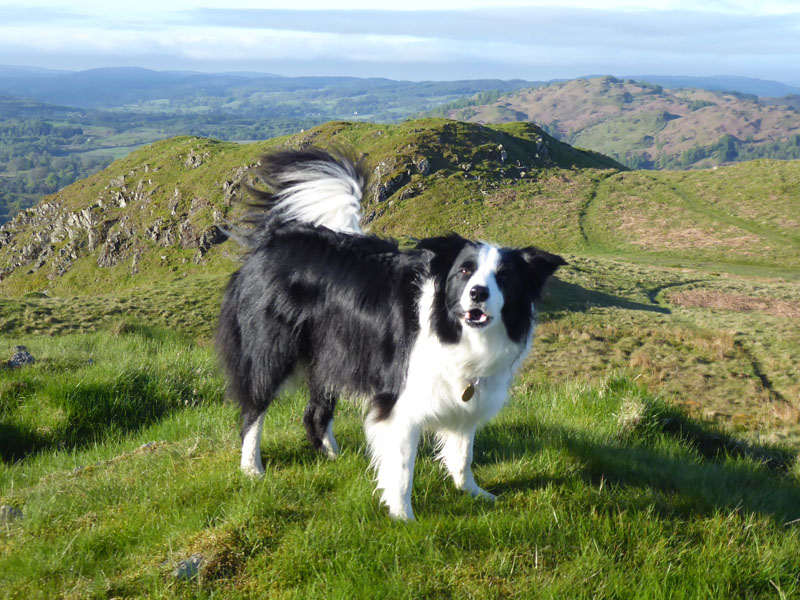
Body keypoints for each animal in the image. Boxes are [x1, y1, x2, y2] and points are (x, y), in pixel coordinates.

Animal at [216, 150, 564, 520]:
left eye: (505, 276)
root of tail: (274, 237)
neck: (451, 328)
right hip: (271, 347)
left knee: (315, 412)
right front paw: (403, 517)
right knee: (254, 407)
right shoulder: (401, 401)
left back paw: (334, 457)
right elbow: (401, 466)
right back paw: (252, 468)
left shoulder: (465, 395)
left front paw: (472, 493)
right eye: (464, 271)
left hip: (333, 352)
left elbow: (462, 452)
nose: (478, 293)